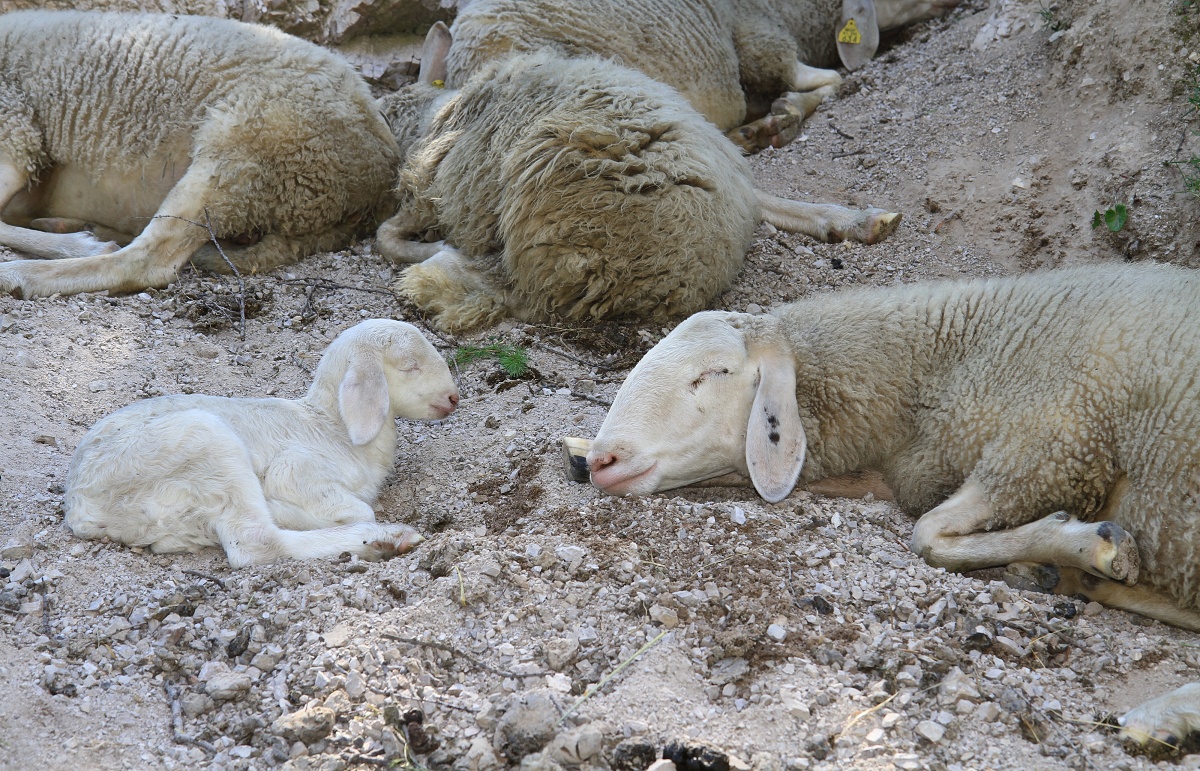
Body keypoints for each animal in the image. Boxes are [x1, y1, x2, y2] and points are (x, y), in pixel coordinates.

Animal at [64, 317, 458, 564]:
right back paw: (386, 539)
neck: (333, 427)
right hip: (205, 443)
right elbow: (362, 508)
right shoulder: (296, 469)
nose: (454, 398)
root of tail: (81, 509)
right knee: (257, 542)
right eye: (410, 366)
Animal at [374, 23, 902, 331]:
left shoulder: (428, 195)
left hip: (553, 223)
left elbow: (386, 235)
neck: (432, 113)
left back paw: (433, 281)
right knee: (761, 196)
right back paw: (861, 219)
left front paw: (426, 253)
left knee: (524, 296)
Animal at [588, 264, 1200, 749]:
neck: (953, 357)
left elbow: (927, 535)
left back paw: (1158, 714)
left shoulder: (1053, 441)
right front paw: (1068, 563)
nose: (598, 460)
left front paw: (1090, 547)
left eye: (714, 372)